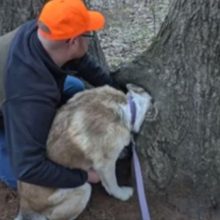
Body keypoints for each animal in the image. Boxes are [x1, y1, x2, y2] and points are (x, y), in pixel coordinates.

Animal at [15, 84, 152, 220]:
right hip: (83, 189)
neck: (126, 107)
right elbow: (112, 185)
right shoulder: (105, 164)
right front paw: (122, 194)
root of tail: (24, 205)